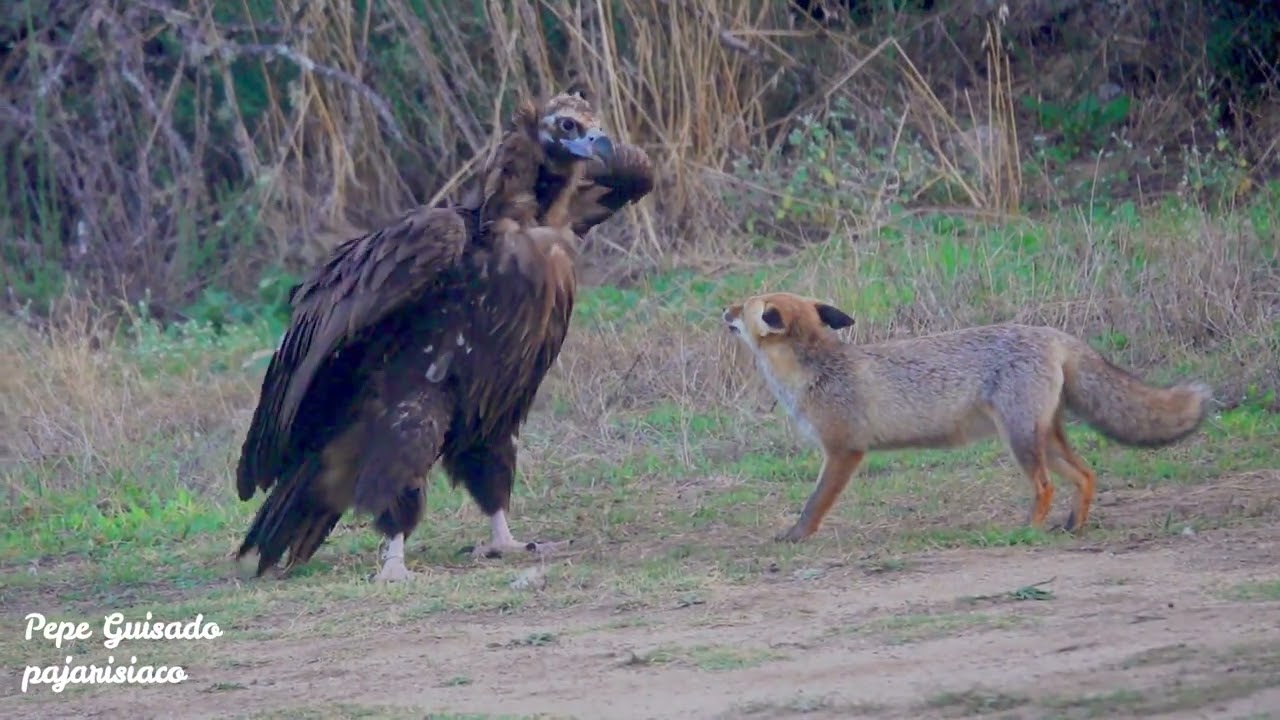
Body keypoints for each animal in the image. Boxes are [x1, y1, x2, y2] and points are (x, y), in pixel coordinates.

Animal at [722, 291, 1214, 542]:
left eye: (743, 307)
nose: (721, 309)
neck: (817, 368)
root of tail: (1053, 333)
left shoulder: (844, 451)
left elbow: (815, 504)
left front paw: (796, 537)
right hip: (1044, 436)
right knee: (1086, 474)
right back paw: (1074, 526)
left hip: (1020, 440)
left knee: (1046, 485)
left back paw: (1027, 532)